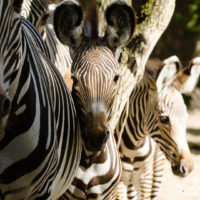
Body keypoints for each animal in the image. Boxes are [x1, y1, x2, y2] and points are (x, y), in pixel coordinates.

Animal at [51, 0, 136, 198]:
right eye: (75, 79)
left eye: (116, 78)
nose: (95, 137)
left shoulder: (107, 194)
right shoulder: (63, 194)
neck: (90, 160)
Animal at [114, 56, 194, 200]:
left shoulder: (145, 176)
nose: (188, 167)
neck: (134, 147)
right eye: (164, 119)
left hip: (157, 167)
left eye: (186, 118)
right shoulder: (119, 180)